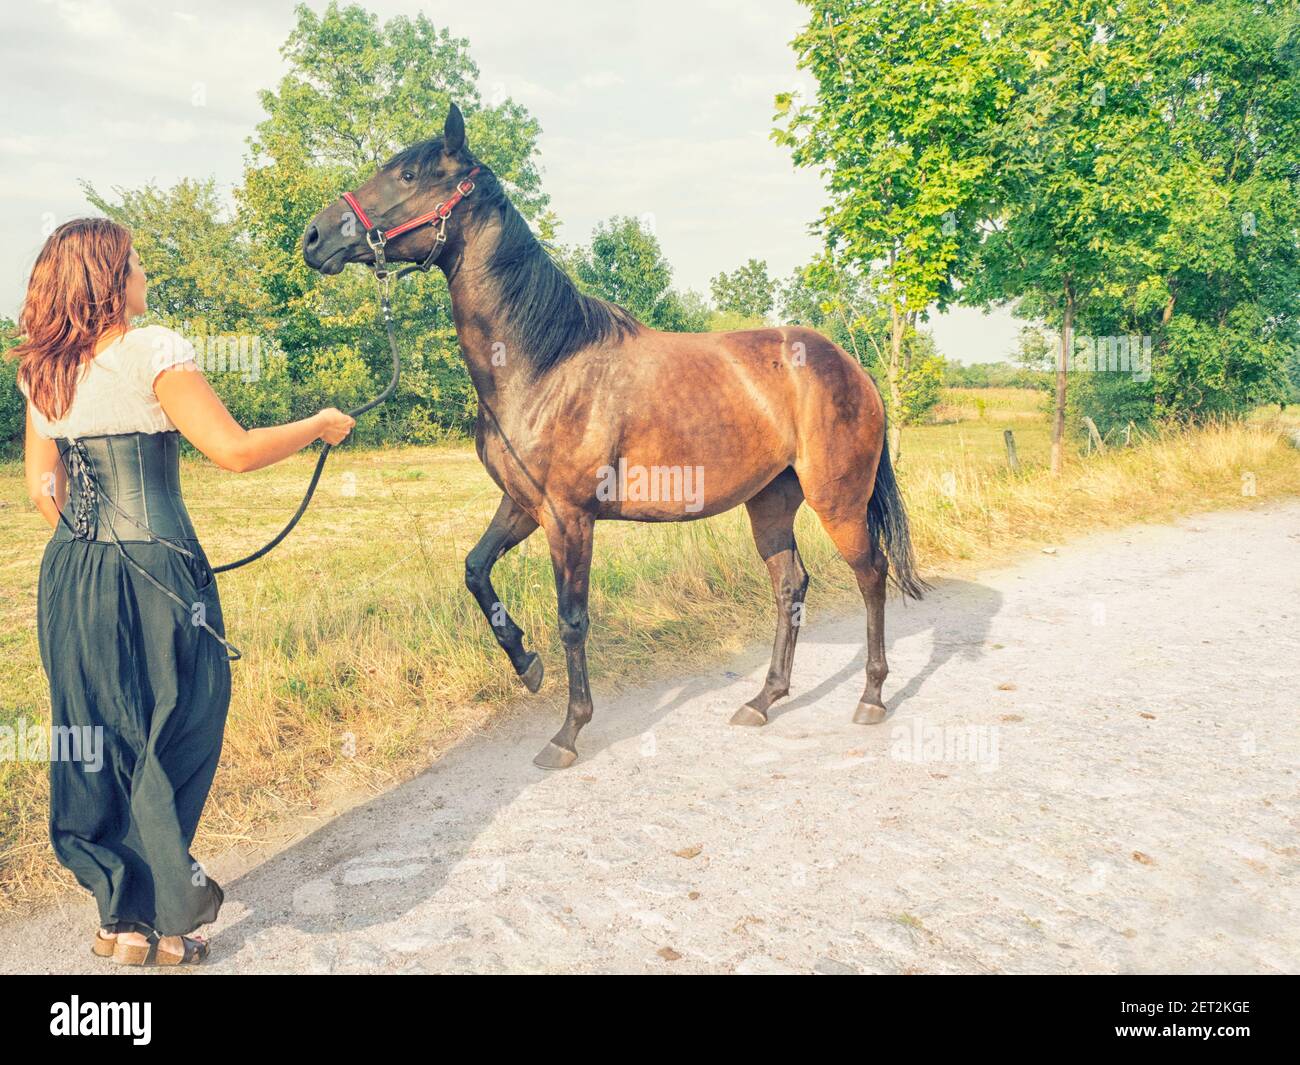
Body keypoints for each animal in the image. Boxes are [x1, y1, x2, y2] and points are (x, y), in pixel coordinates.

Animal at [299, 104, 930, 769]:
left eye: (409, 174)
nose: (314, 236)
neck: (546, 362)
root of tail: (852, 367)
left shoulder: (570, 517)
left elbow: (573, 618)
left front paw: (568, 730)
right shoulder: (524, 505)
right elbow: (475, 570)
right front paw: (526, 664)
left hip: (838, 500)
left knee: (871, 575)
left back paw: (871, 696)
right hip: (772, 501)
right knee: (790, 586)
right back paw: (763, 701)